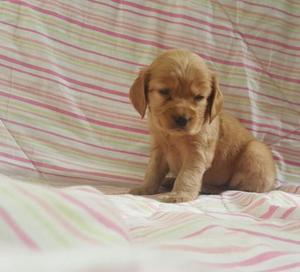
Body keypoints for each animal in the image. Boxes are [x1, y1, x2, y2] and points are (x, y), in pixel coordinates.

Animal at [127, 48, 276, 202]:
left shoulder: (197, 152)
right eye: (164, 92)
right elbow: (153, 171)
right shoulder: (159, 148)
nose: (182, 119)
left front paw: (180, 194)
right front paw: (145, 188)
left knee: (232, 187)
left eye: (199, 97)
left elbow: (187, 175)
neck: (174, 137)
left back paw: (206, 187)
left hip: (255, 151)